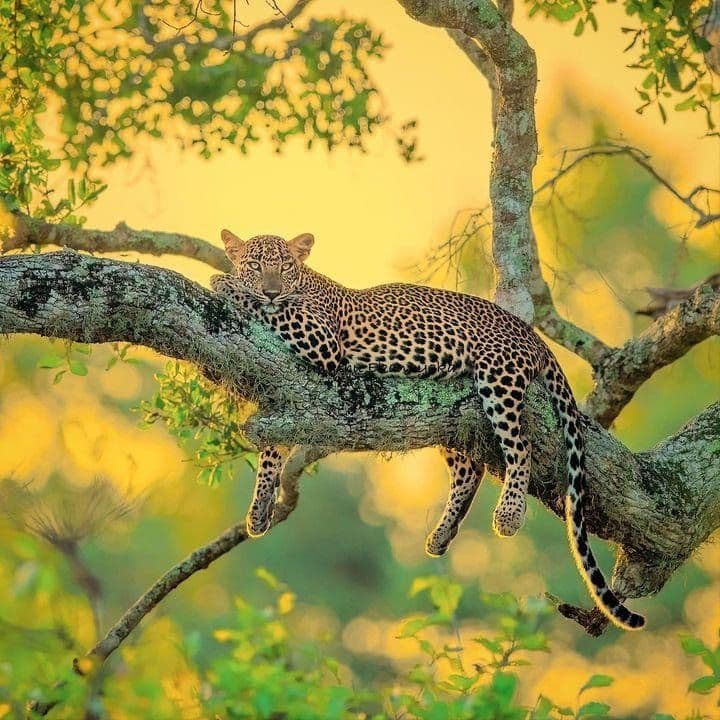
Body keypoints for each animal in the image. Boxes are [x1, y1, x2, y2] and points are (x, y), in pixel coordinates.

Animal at [210, 229, 645, 631]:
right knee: (472, 469)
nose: (270, 289)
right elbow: (271, 452)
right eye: (255, 265)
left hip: (498, 377)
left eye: (284, 266)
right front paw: (258, 511)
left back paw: (509, 514)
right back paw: (443, 533)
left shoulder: (322, 341)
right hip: (448, 419)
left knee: (519, 447)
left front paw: (225, 283)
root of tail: (532, 334)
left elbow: (274, 311)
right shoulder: (286, 395)